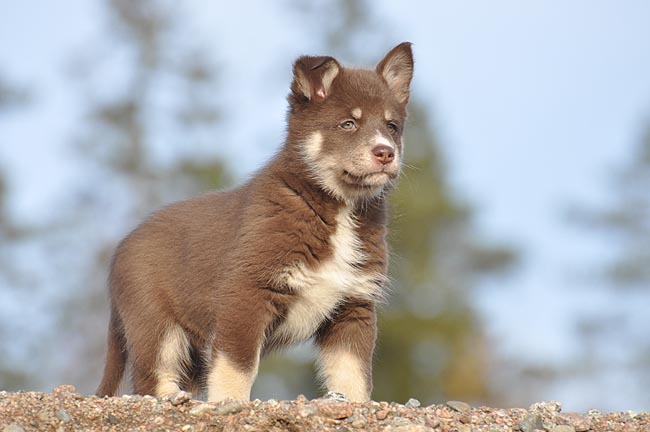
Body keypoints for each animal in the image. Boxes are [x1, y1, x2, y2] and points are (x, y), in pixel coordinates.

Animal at [96, 42, 413, 403]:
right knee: (150, 378)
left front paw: (356, 404)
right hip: (156, 324)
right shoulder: (246, 293)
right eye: (348, 123)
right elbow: (236, 367)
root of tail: (121, 249)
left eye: (392, 126)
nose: (385, 153)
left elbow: (353, 377)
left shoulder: (353, 305)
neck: (336, 208)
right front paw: (229, 403)